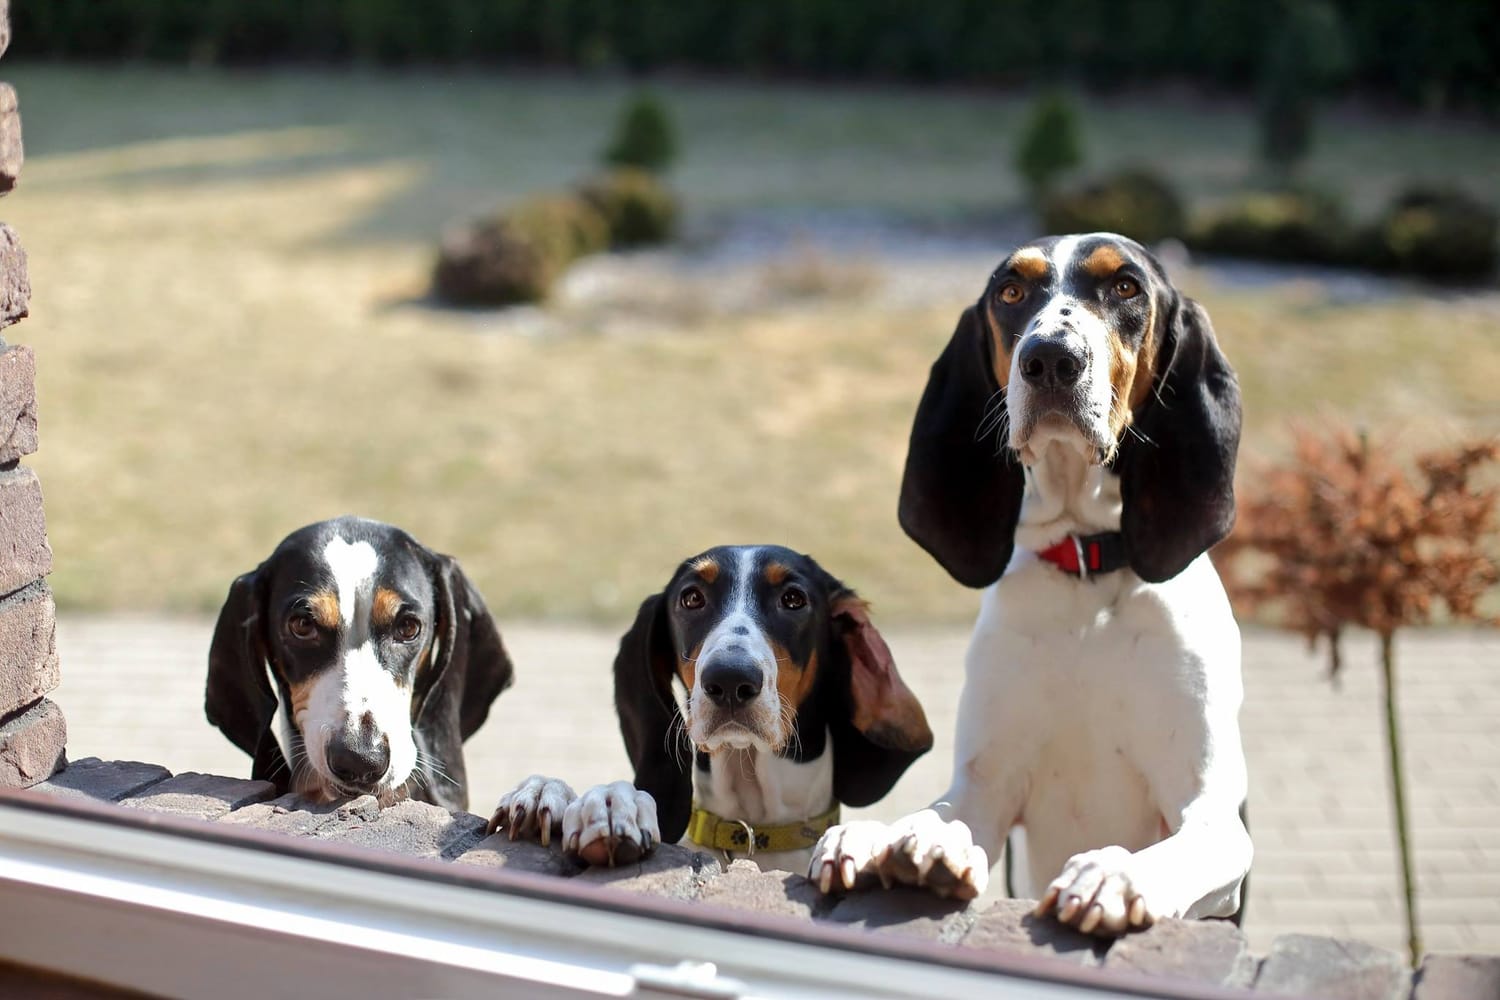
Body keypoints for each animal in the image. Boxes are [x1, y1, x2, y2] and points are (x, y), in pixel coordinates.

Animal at [804, 235, 1248, 941]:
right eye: (1011, 292)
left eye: (1125, 287)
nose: (1050, 359)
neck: (1086, 574)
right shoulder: (986, 785)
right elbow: (938, 814)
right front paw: (888, 840)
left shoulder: (1208, 807)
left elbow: (1177, 850)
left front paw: (1115, 873)